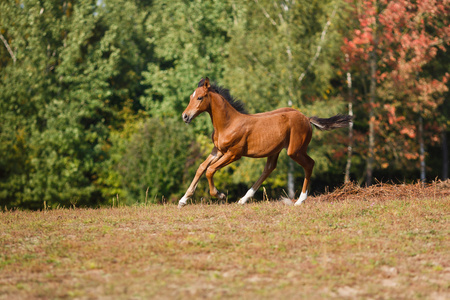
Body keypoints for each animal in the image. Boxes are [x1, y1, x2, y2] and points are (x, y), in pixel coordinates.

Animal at [178, 77, 352, 207]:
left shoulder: (234, 154)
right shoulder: (218, 150)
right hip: (276, 150)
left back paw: (300, 200)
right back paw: (243, 199)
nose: (185, 116)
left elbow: (210, 170)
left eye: (200, 97)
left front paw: (220, 195)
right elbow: (201, 168)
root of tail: (306, 118)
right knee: (269, 169)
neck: (228, 123)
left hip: (295, 150)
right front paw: (183, 200)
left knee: (309, 164)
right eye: (191, 97)